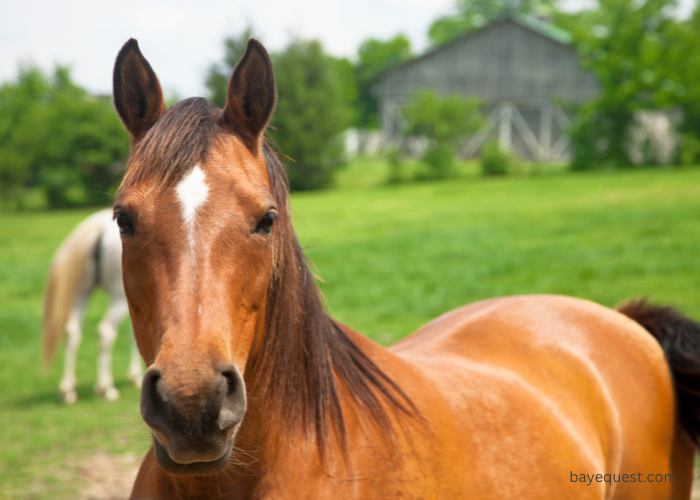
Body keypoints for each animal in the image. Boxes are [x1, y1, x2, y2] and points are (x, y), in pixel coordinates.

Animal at [42, 209, 142, 404]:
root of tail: (98, 226)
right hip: (118, 297)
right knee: (105, 332)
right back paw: (106, 388)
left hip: (81, 292)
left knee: (72, 332)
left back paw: (68, 390)